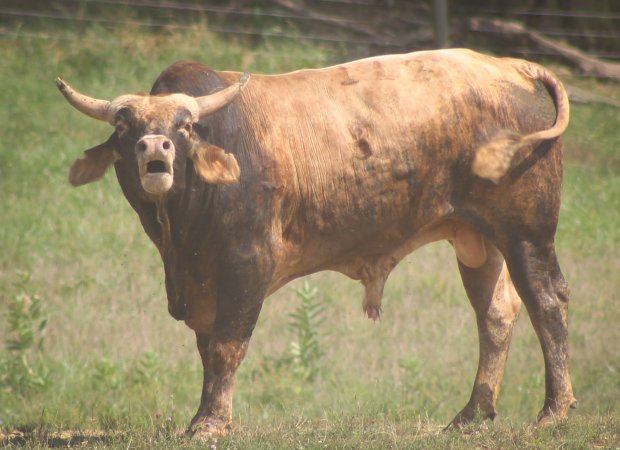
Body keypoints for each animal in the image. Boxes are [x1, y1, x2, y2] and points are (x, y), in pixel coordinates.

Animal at [58, 48, 576, 436]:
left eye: (183, 127)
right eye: (123, 129)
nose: (154, 147)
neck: (181, 236)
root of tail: (511, 66)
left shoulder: (246, 267)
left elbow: (226, 347)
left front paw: (210, 423)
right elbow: (207, 349)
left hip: (526, 233)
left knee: (547, 304)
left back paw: (553, 411)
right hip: (478, 239)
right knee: (495, 315)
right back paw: (471, 415)